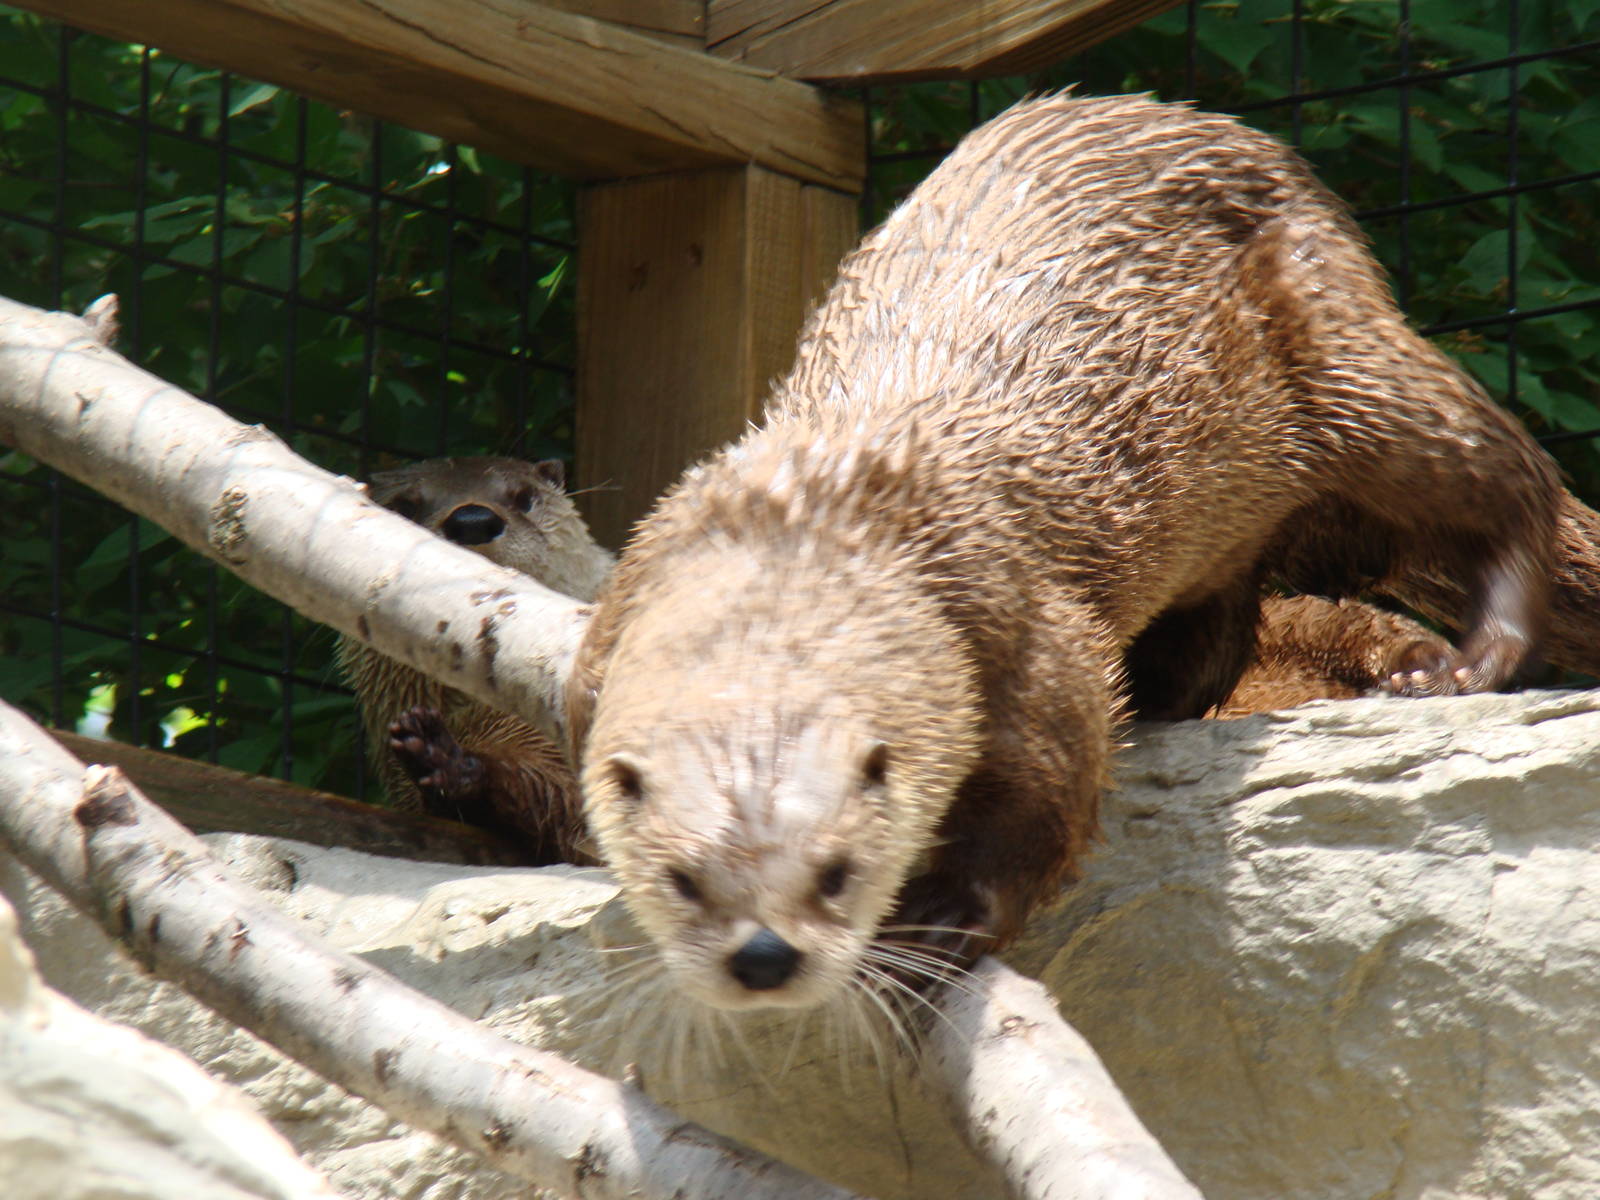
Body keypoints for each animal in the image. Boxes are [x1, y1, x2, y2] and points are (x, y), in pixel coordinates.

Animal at [564, 94, 1566, 1013]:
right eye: (682, 880)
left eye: (838, 870)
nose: (765, 958)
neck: (811, 509)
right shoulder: (607, 638)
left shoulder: (1019, 622)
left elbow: (1048, 791)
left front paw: (938, 922)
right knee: (1222, 624)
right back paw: (1168, 700)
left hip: (1354, 368)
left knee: (1507, 474)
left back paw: (1467, 661)